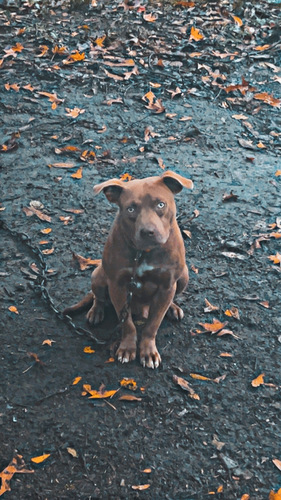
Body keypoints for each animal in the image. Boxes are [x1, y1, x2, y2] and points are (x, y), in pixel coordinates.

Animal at [64, 171, 192, 368]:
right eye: (131, 209)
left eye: (160, 204)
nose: (148, 232)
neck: (143, 253)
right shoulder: (118, 286)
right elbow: (128, 324)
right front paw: (127, 348)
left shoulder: (167, 286)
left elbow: (152, 325)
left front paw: (148, 351)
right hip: (98, 276)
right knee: (98, 297)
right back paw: (96, 311)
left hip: (184, 276)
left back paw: (173, 307)